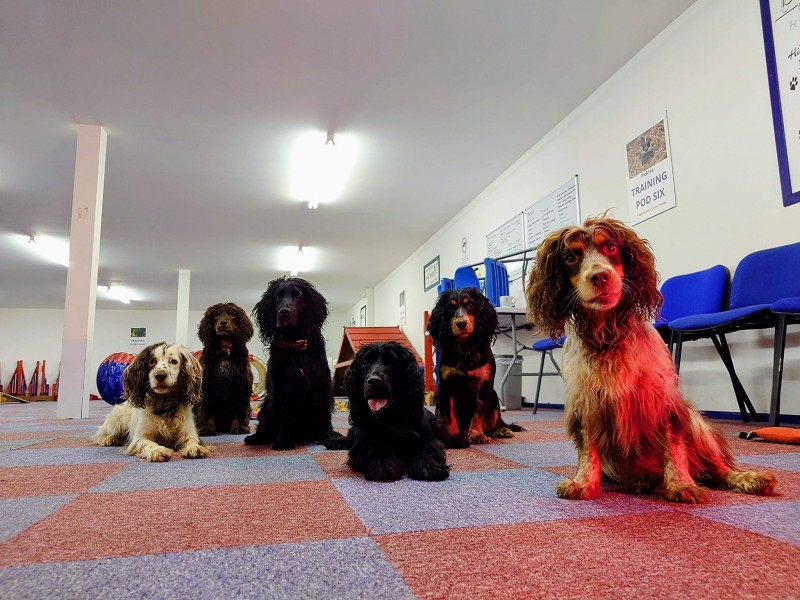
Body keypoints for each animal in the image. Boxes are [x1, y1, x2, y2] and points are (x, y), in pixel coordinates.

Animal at [195, 302, 253, 434]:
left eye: (232, 314)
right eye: (216, 315)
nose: (223, 323)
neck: (225, 350)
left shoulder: (241, 385)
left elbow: (239, 410)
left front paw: (239, 427)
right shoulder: (207, 385)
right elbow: (206, 410)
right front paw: (206, 427)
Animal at [244, 276, 344, 450]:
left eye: (298, 296)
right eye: (278, 296)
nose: (284, 312)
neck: (294, 344)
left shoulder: (322, 385)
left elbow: (325, 415)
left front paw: (329, 437)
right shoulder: (281, 387)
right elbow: (284, 416)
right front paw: (283, 441)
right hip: (266, 406)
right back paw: (256, 437)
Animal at [324, 342, 450, 482]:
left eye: (392, 361)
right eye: (366, 362)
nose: (374, 381)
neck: (389, 417)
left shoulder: (428, 440)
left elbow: (430, 449)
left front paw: (429, 465)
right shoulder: (362, 446)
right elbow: (376, 450)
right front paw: (385, 465)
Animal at [428, 288, 520, 448]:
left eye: (470, 304)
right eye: (450, 307)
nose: (461, 323)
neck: (465, 348)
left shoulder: (483, 384)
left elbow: (478, 411)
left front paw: (476, 434)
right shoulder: (446, 386)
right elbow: (450, 413)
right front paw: (453, 435)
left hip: (494, 396)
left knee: (496, 423)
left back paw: (502, 430)